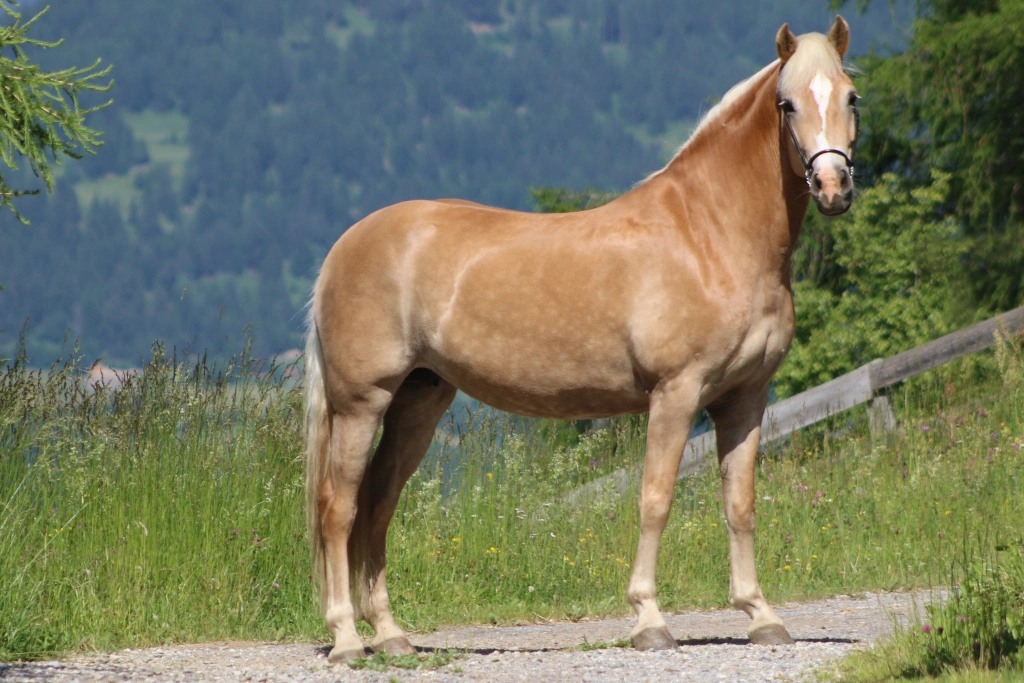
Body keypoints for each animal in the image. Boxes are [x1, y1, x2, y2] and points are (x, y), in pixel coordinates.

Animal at [303, 17, 859, 662]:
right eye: (786, 103)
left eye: (851, 97)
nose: (832, 186)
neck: (709, 235)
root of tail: (344, 246)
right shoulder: (676, 393)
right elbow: (655, 498)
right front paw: (649, 620)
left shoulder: (745, 399)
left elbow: (739, 505)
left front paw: (760, 615)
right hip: (361, 403)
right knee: (338, 507)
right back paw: (346, 637)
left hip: (419, 401)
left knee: (377, 505)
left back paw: (392, 635)